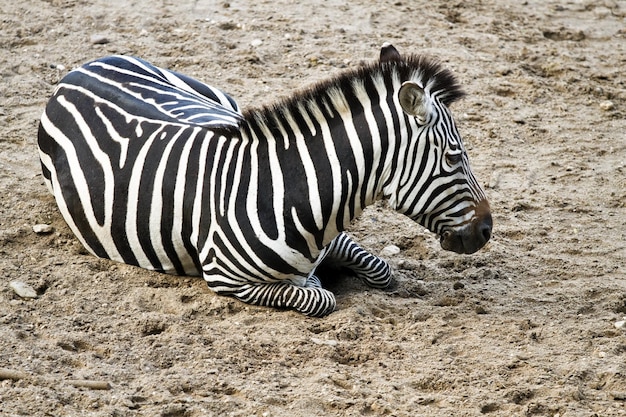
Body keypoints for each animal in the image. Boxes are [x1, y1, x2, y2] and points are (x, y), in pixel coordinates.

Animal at [37, 43, 492, 316]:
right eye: (454, 156)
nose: (488, 229)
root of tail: (80, 68)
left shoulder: (336, 239)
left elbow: (381, 270)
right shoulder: (226, 278)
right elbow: (319, 297)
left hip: (219, 101)